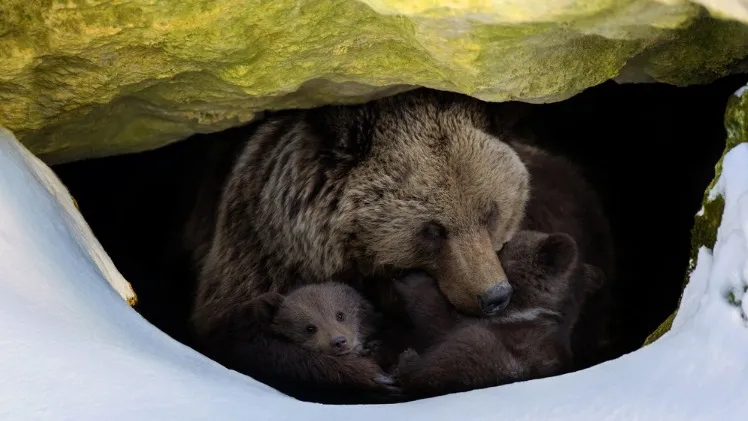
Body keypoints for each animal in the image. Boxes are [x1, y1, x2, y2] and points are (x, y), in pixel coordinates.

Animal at [183, 88, 536, 400]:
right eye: (434, 230)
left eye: (490, 212)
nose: (494, 296)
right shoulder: (259, 254)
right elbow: (241, 334)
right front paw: (371, 374)